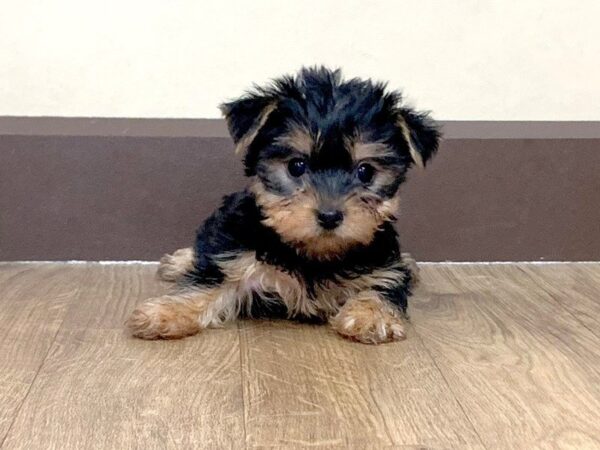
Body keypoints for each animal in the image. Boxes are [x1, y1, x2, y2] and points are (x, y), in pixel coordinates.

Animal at [126, 67, 438, 344]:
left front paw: (371, 317)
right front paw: (165, 313)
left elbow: (383, 286)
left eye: (365, 172)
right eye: (296, 166)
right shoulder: (234, 255)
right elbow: (209, 282)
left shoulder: (383, 266)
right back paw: (181, 261)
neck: (313, 254)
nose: (329, 215)